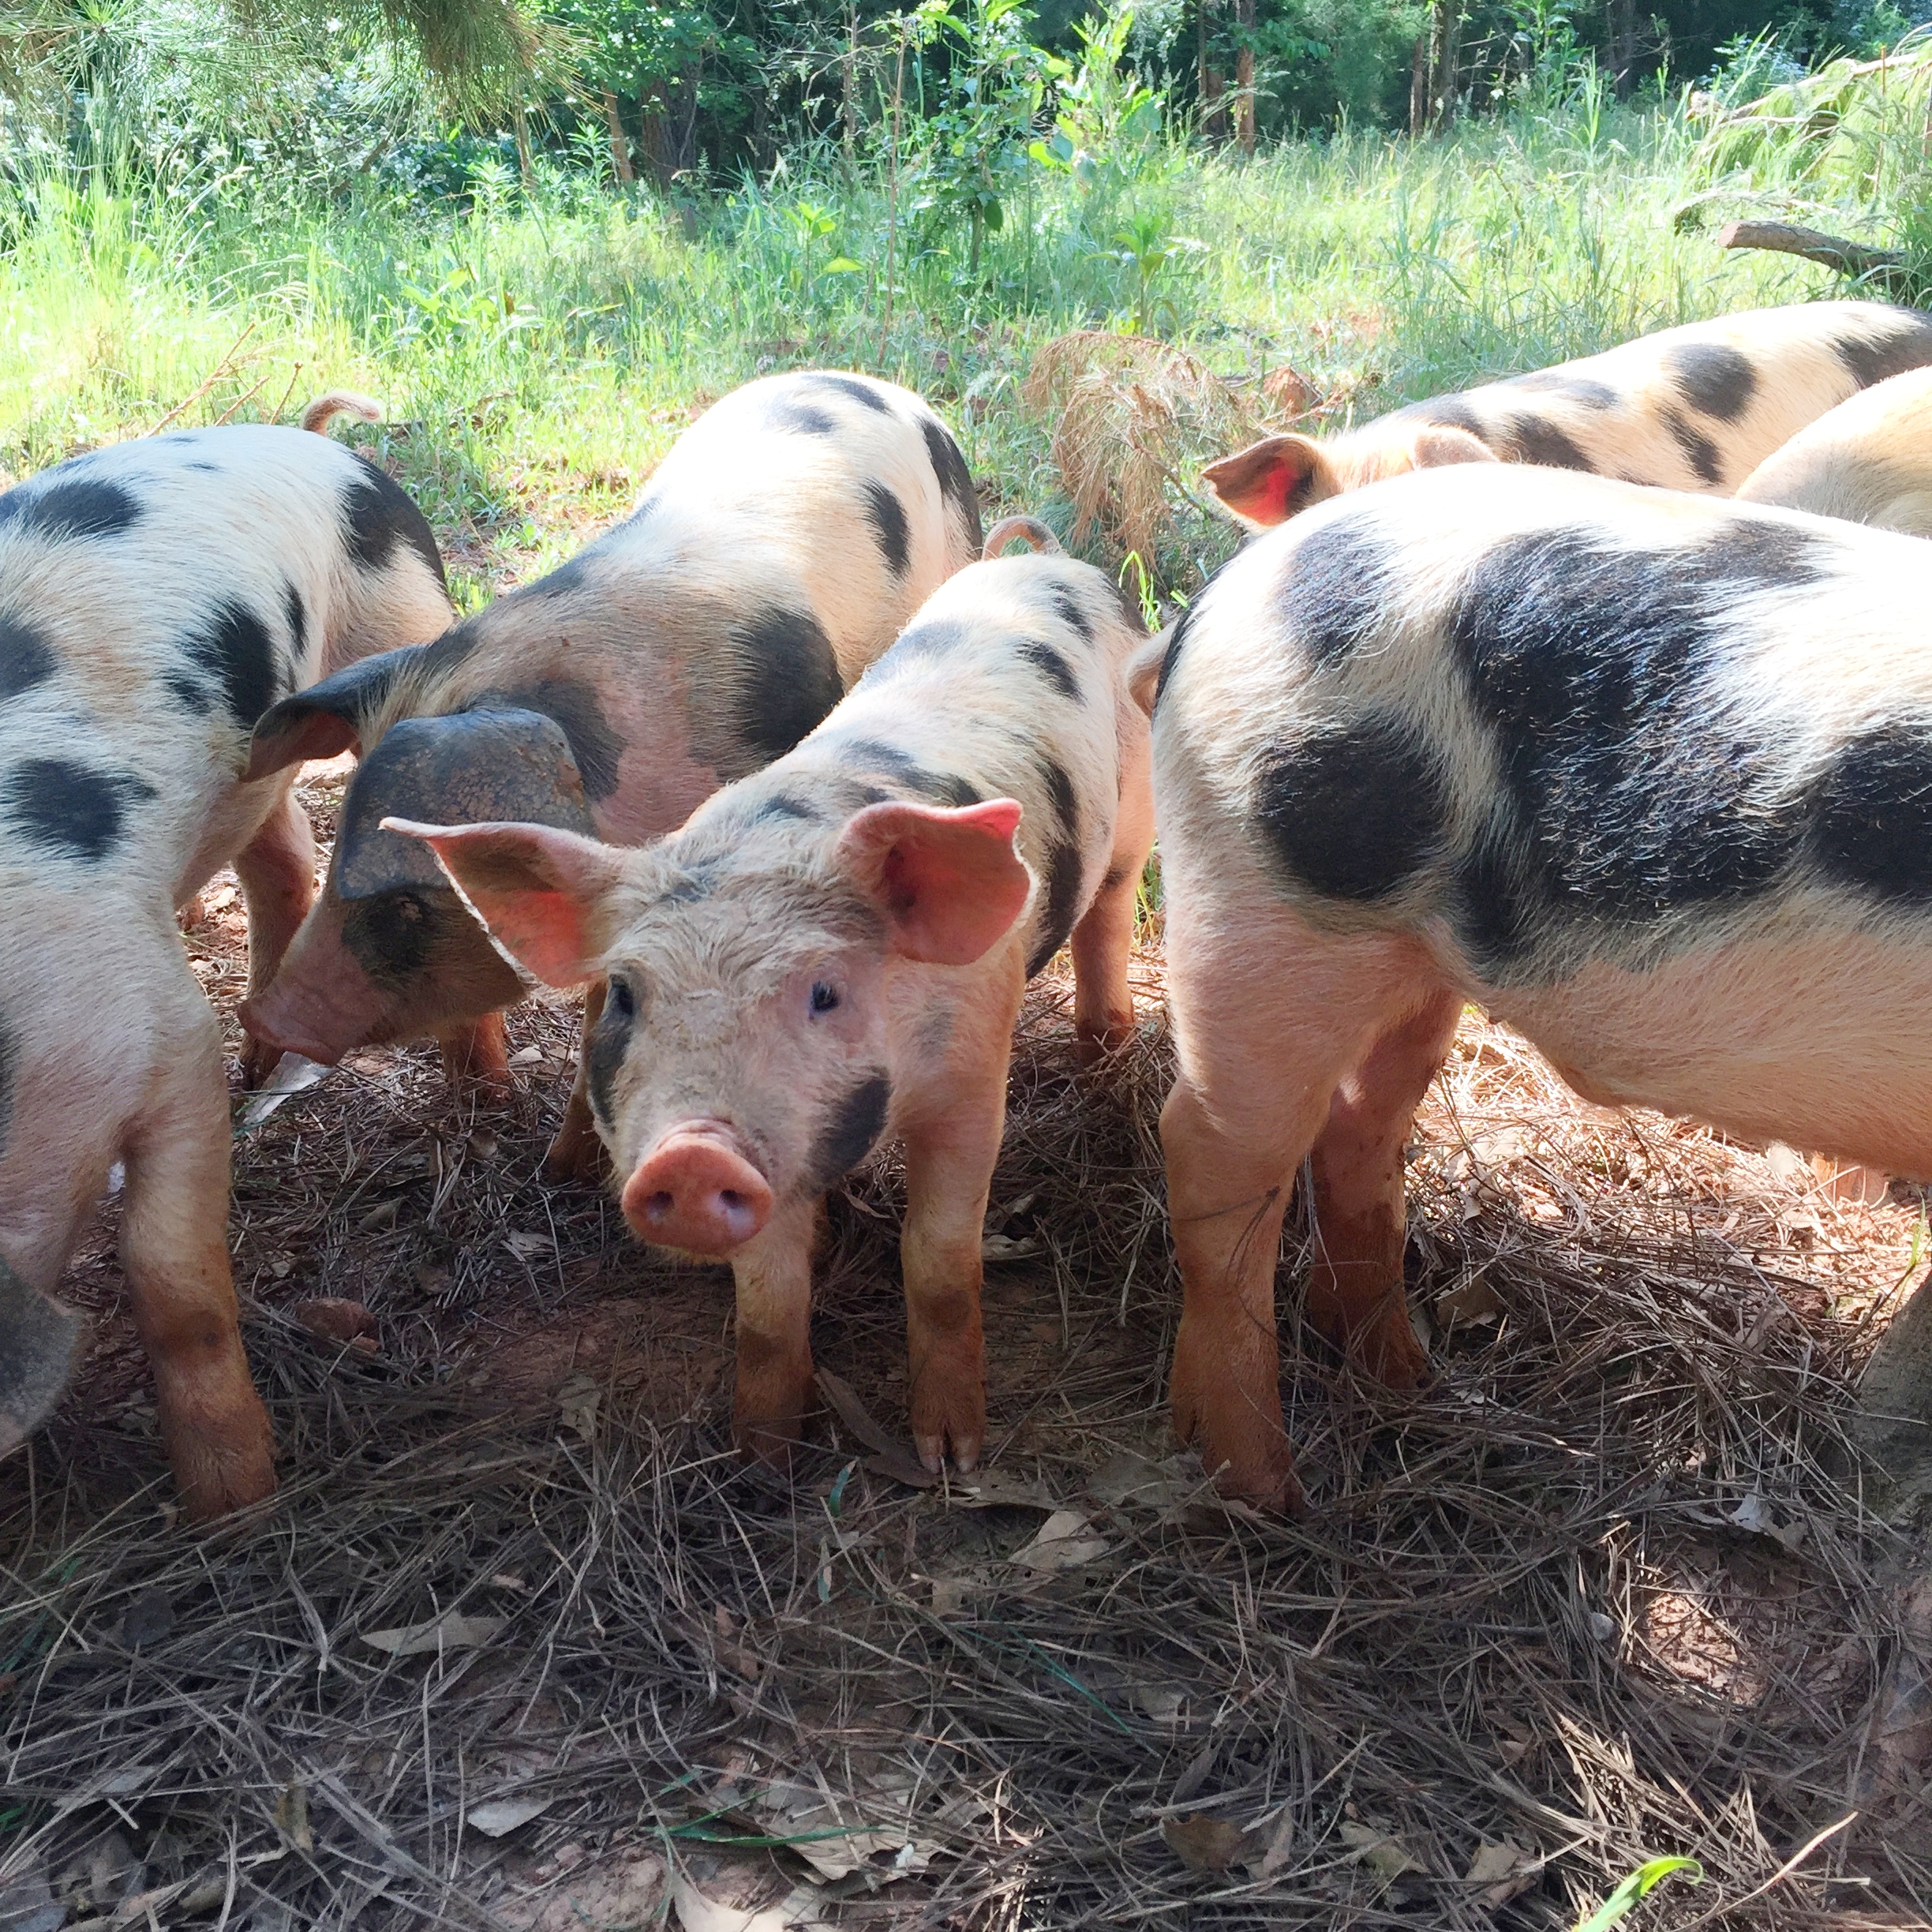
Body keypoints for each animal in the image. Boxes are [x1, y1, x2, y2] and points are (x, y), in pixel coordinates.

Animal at [0, 405, 453, 1511]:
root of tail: (313, 440)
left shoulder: (152, 1031)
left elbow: (172, 1274)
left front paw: (235, 1501)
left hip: (399, 619)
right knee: (281, 848)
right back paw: (266, 1058)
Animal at [384, 547, 1154, 1471]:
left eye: (826, 992)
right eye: (626, 995)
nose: (691, 1154)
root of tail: (1048, 558)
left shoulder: (973, 1077)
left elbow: (938, 1261)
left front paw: (950, 1459)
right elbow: (767, 1301)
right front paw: (759, 1459)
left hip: (1135, 819)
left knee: (1110, 915)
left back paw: (1107, 1056)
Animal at [1141, 460, 1932, 1512]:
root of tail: (1225, 593)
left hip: (1409, 958)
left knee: (1358, 1128)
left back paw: (1409, 1380)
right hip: (1260, 889)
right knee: (1214, 1151)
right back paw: (1265, 1488)